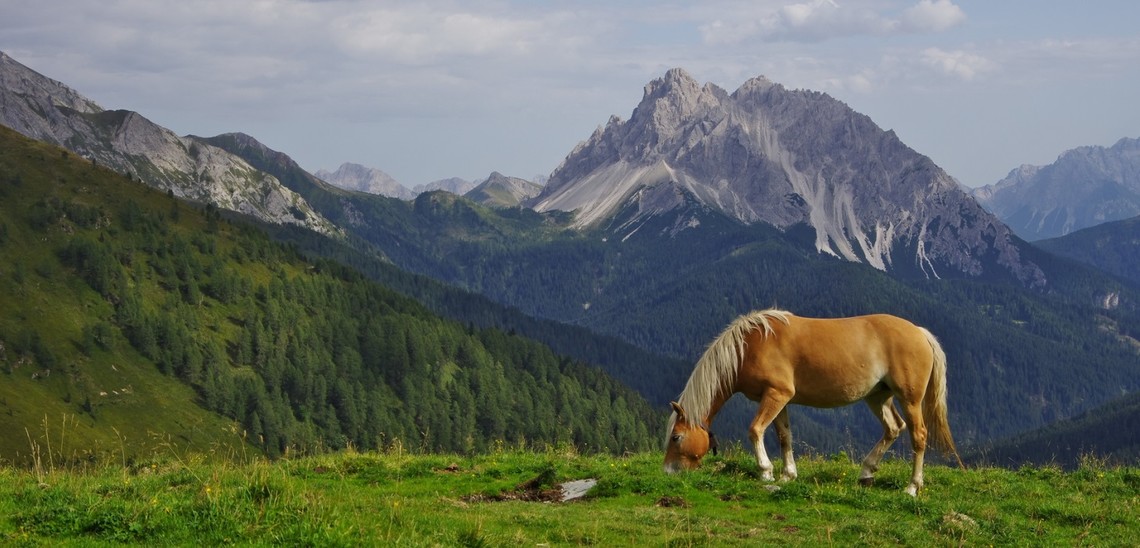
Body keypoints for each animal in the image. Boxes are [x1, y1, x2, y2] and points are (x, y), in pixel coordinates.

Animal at [665, 307, 966, 496]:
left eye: (676, 437)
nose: (668, 470)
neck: (751, 345)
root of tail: (920, 332)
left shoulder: (776, 394)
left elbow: (755, 430)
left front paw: (766, 471)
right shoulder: (779, 399)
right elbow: (784, 436)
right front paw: (788, 474)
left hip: (909, 399)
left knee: (919, 435)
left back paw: (912, 487)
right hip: (877, 396)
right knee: (893, 428)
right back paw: (866, 472)